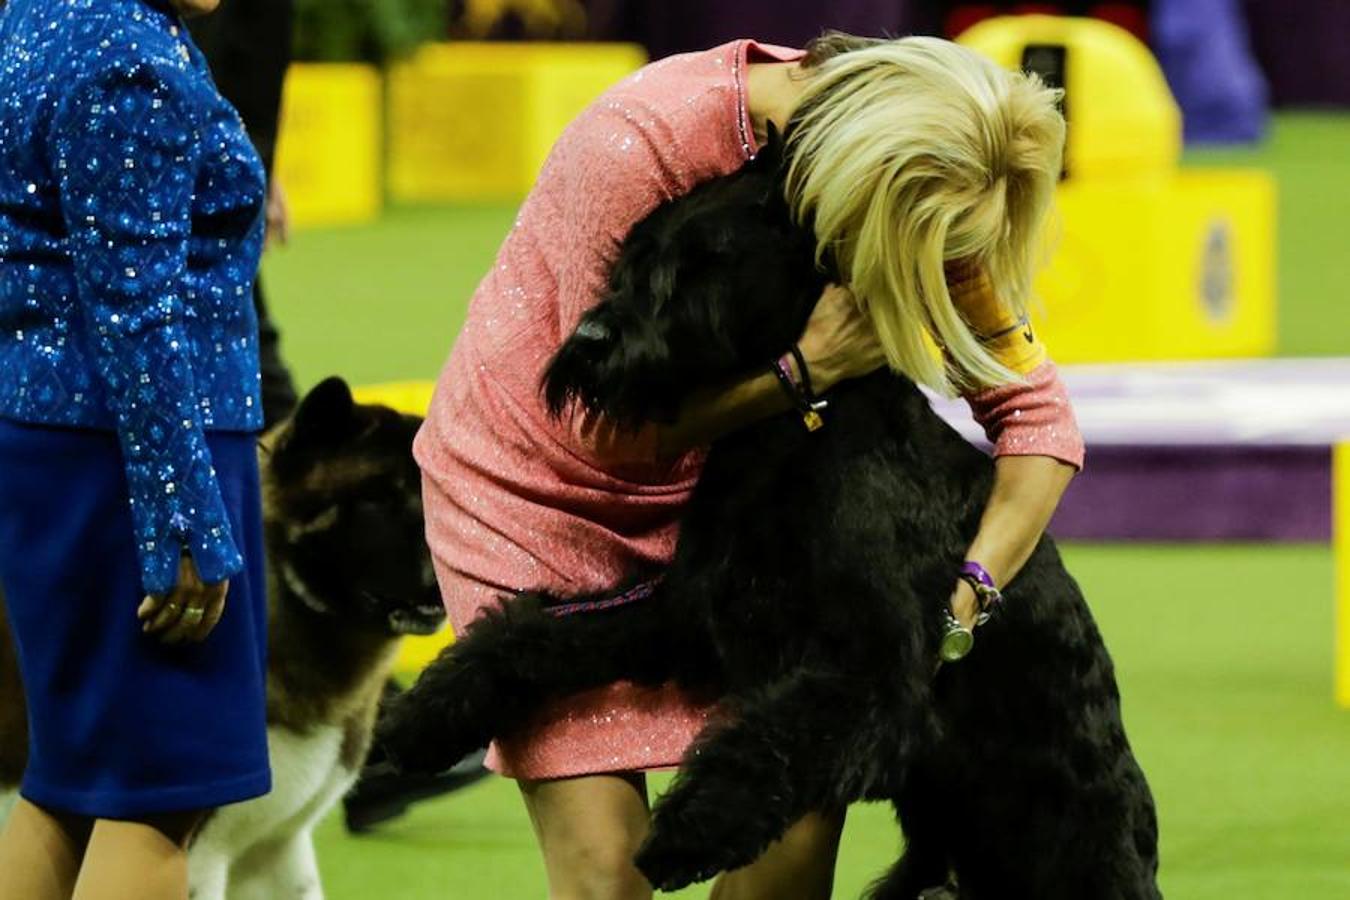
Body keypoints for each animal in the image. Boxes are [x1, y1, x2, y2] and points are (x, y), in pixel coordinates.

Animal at [380, 135, 1161, 900]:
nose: (593, 339)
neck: (792, 433)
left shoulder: (870, 671)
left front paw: (684, 833)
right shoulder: (688, 615)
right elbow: (538, 636)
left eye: (705, 262)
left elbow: (763, 745)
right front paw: (419, 718)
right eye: (632, 256)